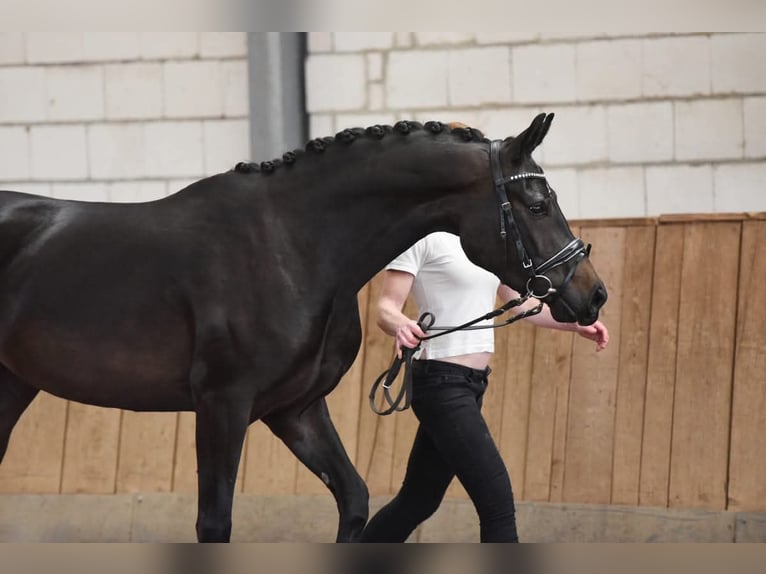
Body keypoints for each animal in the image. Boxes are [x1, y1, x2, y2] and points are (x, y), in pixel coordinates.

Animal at [0, 113, 607, 542]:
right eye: (536, 203)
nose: (593, 295)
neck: (293, 245)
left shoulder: (294, 410)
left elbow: (355, 500)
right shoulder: (222, 404)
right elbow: (214, 523)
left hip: (15, 386)